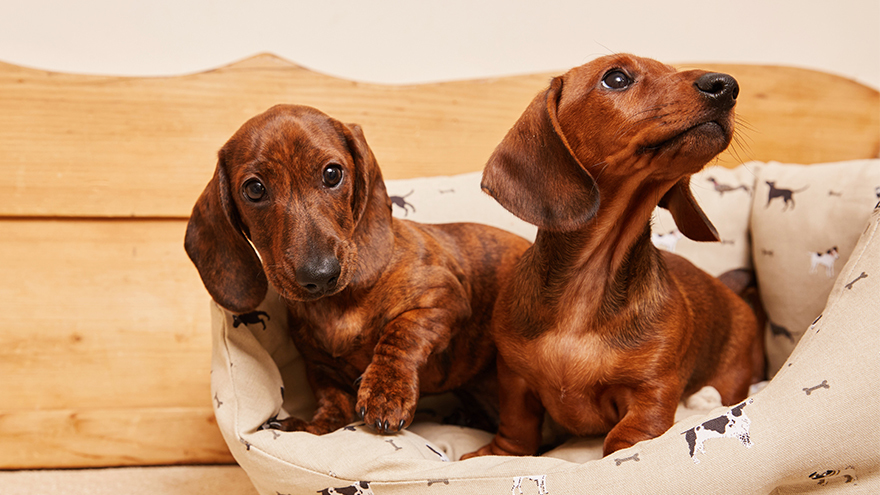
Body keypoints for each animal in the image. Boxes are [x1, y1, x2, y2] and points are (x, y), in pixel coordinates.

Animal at [186, 104, 528, 434]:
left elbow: (400, 333)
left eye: (332, 174)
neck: (337, 304)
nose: (320, 276)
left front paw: (384, 393)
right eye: (254, 189)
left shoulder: (444, 299)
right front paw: (311, 426)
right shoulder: (320, 366)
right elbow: (333, 403)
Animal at [464, 53, 760, 458]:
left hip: (733, 373)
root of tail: (726, 288)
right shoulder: (514, 378)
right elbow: (516, 431)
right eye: (616, 78)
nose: (726, 85)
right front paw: (496, 454)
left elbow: (623, 441)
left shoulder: (650, 392)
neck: (586, 287)